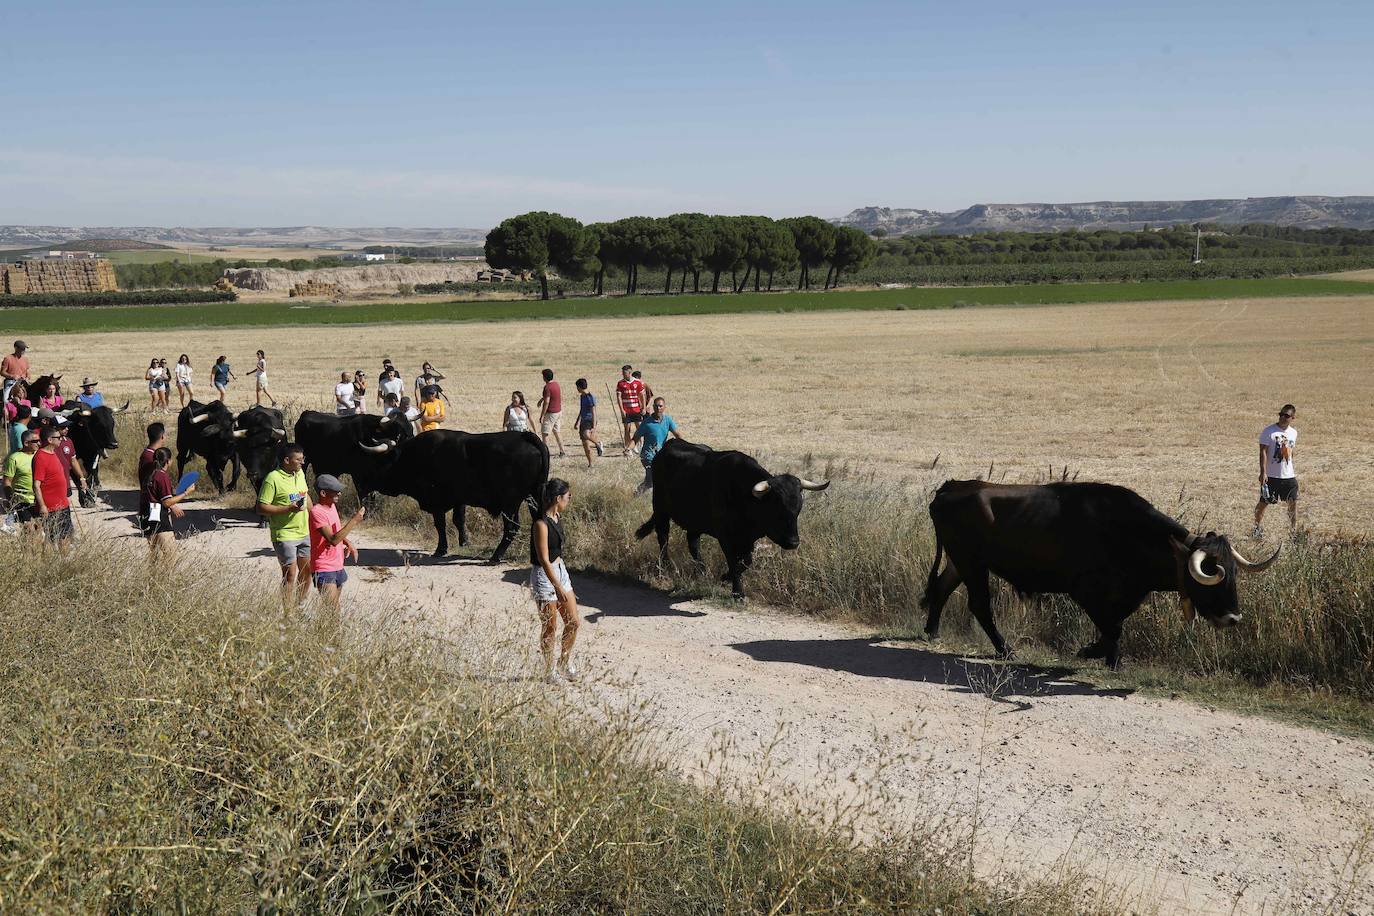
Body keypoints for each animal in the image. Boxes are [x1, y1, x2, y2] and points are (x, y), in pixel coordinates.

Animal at [629, 439, 824, 598]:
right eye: (777, 509)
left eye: (797, 510)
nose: (793, 542)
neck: (743, 495)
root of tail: (667, 447)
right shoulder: (725, 536)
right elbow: (734, 561)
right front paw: (737, 591)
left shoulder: (747, 539)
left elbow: (746, 561)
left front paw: (725, 577)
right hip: (661, 509)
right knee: (663, 538)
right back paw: (667, 567)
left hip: (694, 521)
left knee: (693, 544)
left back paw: (702, 571)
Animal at [917, 483, 1280, 670]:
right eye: (1213, 575)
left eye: (1234, 576)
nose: (1233, 618)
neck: (1127, 532)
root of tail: (952, 488)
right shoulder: (1083, 590)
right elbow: (1114, 626)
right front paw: (1093, 653)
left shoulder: (1129, 593)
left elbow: (1116, 623)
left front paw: (1110, 658)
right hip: (971, 562)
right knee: (980, 605)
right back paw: (1005, 650)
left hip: (962, 562)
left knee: (943, 587)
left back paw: (932, 630)